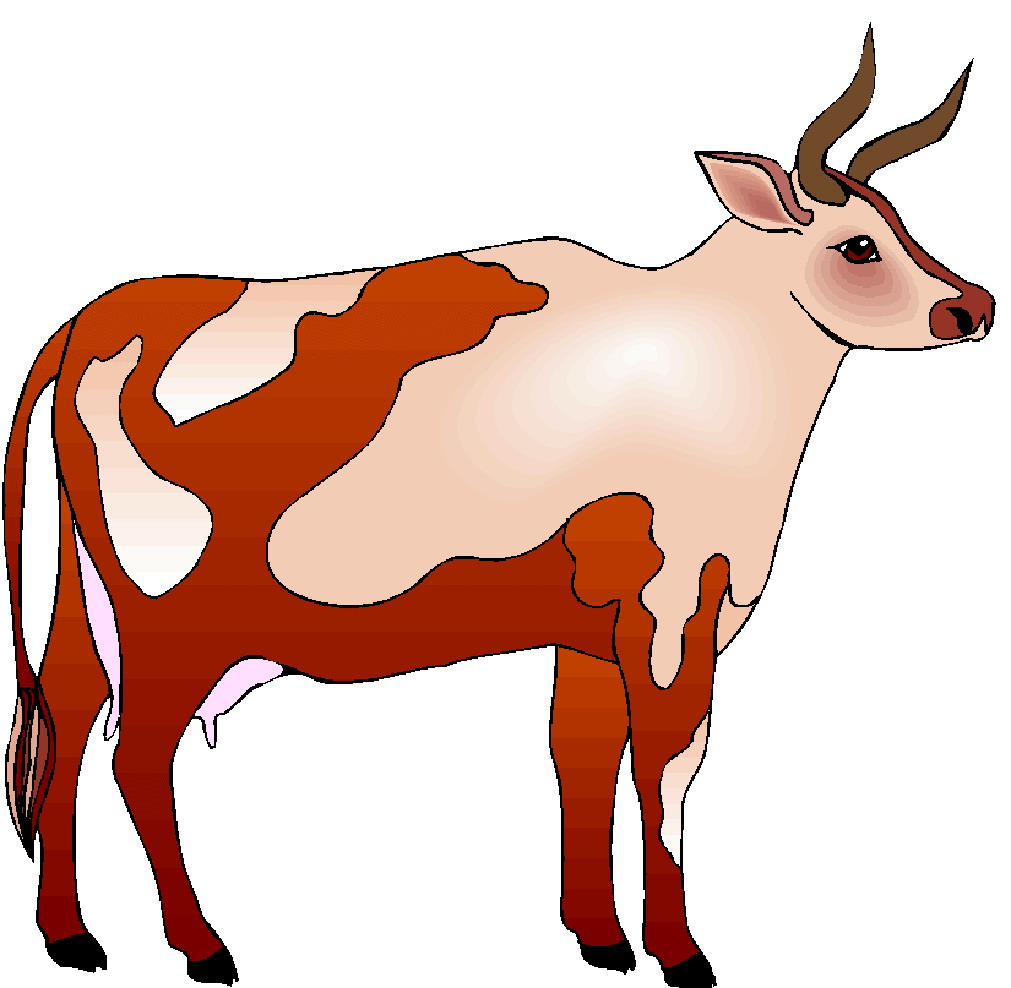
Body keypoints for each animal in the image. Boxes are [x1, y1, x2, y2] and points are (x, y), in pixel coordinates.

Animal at [4, 29, 994, 987]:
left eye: (901, 225)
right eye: (858, 245)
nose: (973, 306)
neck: (717, 352)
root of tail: (96, 317)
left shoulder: (588, 622)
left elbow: (580, 758)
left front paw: (600, 937)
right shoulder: (676, 604)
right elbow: (666, 774)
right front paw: (681, 955)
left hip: (84, 604)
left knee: (64, 733)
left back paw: (70, 937)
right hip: (170, 616)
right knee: (135, 758)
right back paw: (202, 946)